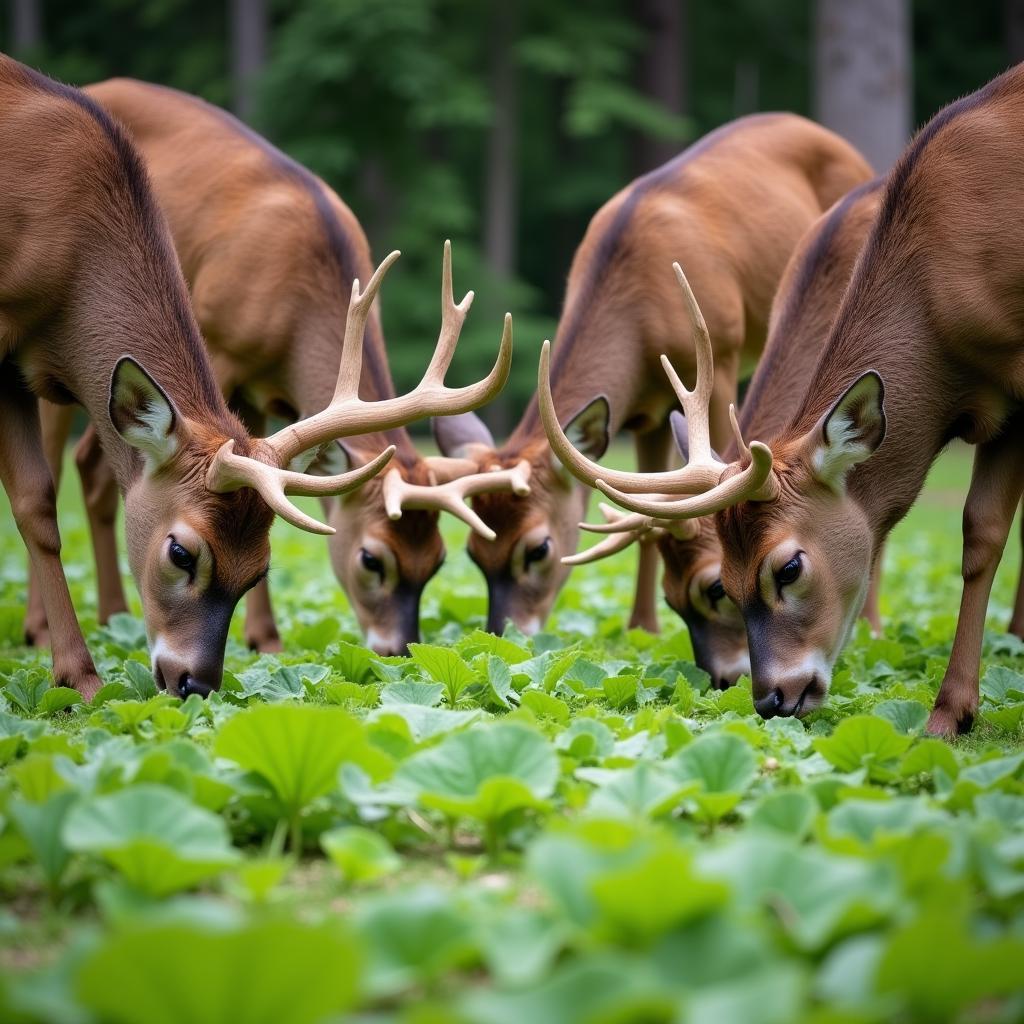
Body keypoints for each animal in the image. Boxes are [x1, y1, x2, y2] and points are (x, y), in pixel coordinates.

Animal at [0, 54, 512, 696]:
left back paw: (114, 617)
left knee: (94, 469)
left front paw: (266, 639)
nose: (397, 652)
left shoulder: (264, 398)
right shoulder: (218, 349)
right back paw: (42, 627)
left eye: (440, 560)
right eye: (371, 559)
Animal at [432, 114, 872, 638]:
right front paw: (642, 628)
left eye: (538, 548)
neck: (641, 311)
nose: (503, 633)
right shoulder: (647, 414)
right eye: (474, 552)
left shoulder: (721, 356)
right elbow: (642, 518)